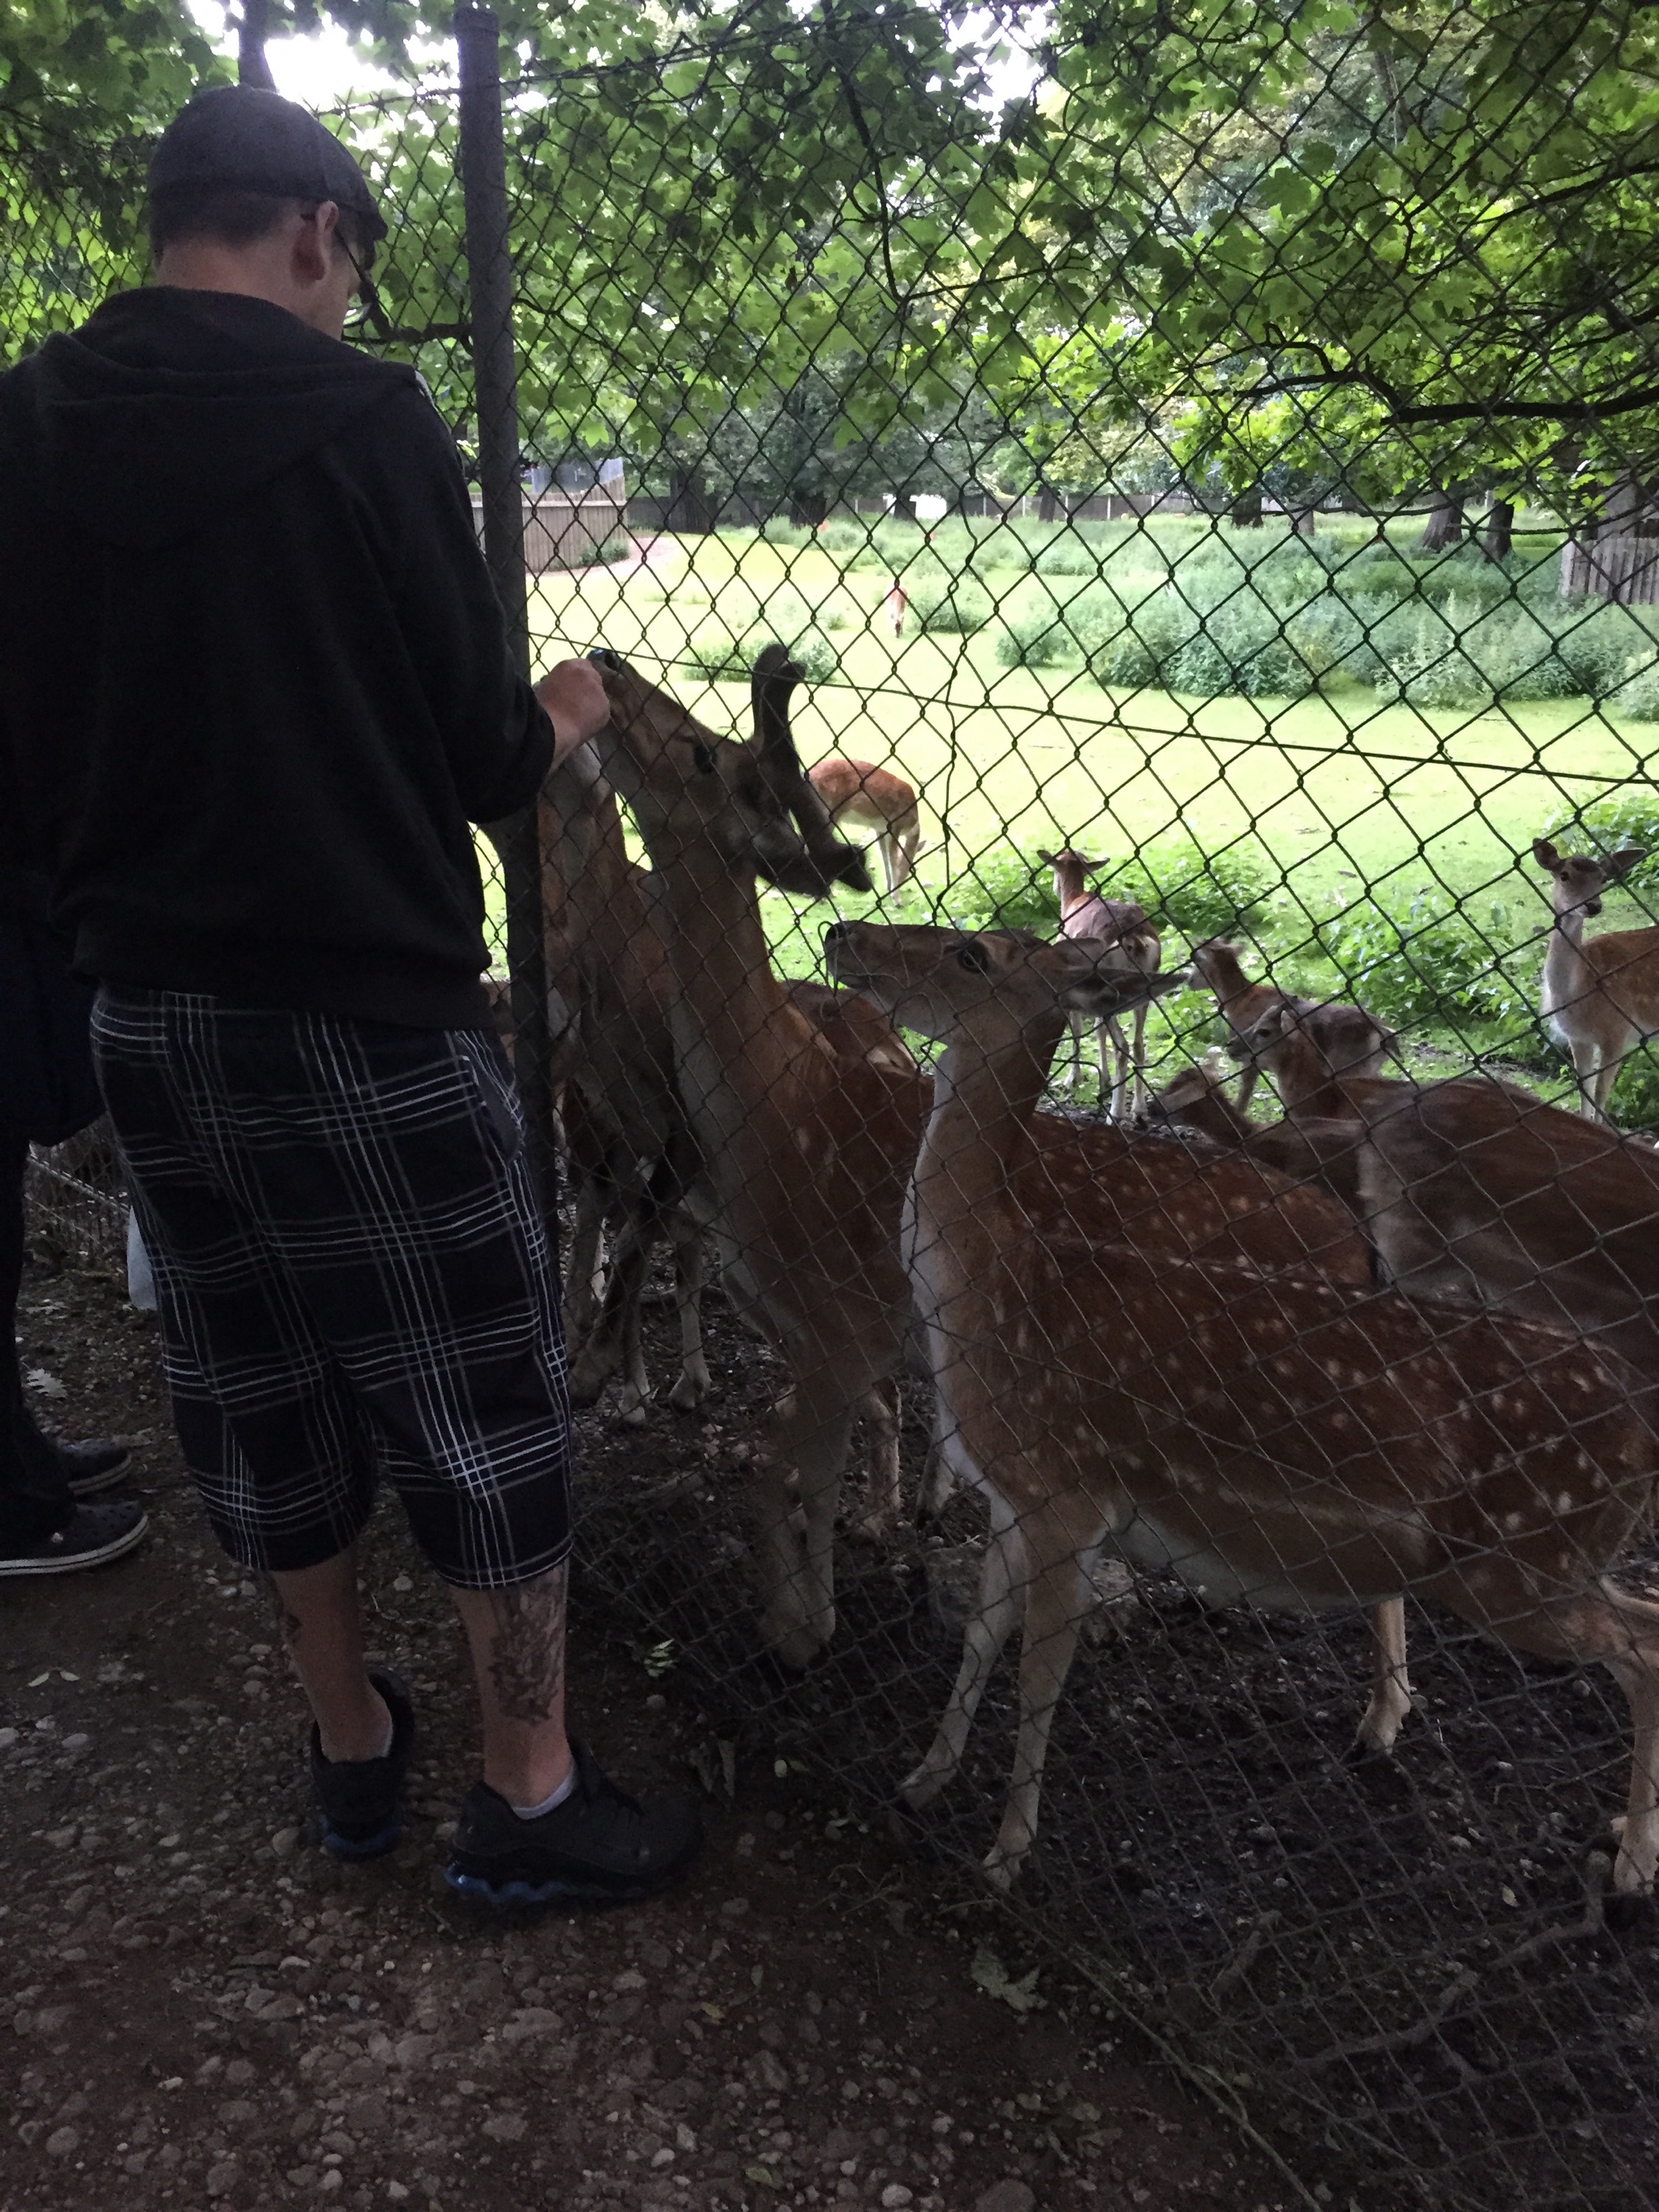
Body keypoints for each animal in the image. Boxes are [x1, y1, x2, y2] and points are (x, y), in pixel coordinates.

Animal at [808, 758, 922, 896]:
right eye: (912, 868)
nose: (902, 882)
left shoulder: (880, 829)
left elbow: (884, 857)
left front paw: (888, 888)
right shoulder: (895, 824)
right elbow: (892, 859)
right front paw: (895, 896)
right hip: (829, 811)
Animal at [824, 920, 1659, 1898]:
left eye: (971, 956)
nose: (840, 933)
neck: (998, 1288)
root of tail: (1639, 1432)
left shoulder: (1070, 1494)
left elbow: (1040, 1676)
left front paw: (1005, 1855)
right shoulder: (1011, 1493)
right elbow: (982, 1637)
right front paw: (923, 1778)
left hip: (1525, 1567)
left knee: (1643, 1646)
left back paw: (1631, 1860)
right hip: (1549, 1564)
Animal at [1036, 847, 1161, 1116]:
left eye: (1053, 867)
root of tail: (1135, 940)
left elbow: (1076, 1027)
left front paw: (1072, 1079)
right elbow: (1098, 1029)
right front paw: (1103, 1077)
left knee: (1123, 1046)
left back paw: (1115, 1112)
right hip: (1145, 990)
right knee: (1138, 1044)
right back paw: (1139, 1108)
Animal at [1532, 837, 1659, 1121]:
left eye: (1602, 878)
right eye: (1564, 874)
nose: (1593, 906)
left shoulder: (1617, 1030)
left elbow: (1601, 1093)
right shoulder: (1577, 1037)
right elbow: (1584, 1089)